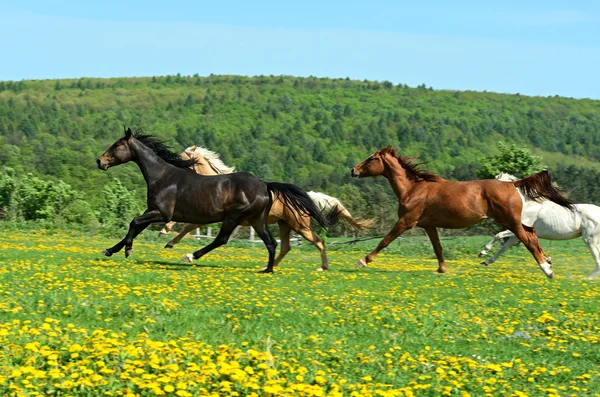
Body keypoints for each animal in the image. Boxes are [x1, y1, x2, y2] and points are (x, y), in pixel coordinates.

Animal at [97, 127, 332, 272]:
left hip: (236, 217)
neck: (163, 175)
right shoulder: (153, 212)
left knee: (222, 239)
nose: (100, 161)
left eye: (117, 145)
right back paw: (267, 270)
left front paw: (127, 250)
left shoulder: (162, 214)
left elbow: (133, 222)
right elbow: (136, 227)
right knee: (272, 243)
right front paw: (110, 250)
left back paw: (191, 256)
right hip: (258, 221)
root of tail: (265, 185)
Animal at [159, 144, 376, 270]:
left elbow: (189, 225)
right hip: (284, 226)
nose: (173, 165)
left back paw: (322, 267)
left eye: (183, 156)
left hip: (300, 227)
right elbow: (188, 226)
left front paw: (172, 241)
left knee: (319, 242)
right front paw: (169, 239)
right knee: (286, 246)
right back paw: (273, 266)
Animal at [350, 145, 576, 278]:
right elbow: (438, 248)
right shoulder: (429, 225)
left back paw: (547, 270)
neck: (414, 189)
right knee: (532, 235)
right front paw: (441, 269)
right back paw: (547, 261)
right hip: (518, 221)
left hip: (511, 221)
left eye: (371, 159)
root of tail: (512, 184)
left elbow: (385, 241)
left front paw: (363, 261)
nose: (353, 170)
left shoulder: (406, 221)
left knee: (528, 240)